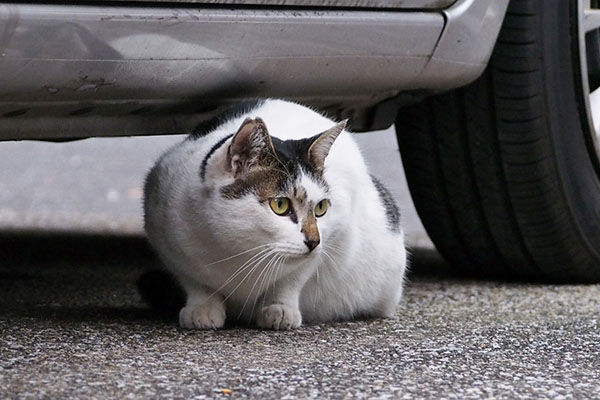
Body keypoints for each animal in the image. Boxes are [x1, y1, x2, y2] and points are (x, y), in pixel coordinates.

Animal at [142, 98, 406, 330]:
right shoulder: (165, 231)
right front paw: (202, 308)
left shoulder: (334, 233)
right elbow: (195, 282)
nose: (314, 240)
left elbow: (292, 279)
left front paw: (280, 309)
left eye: (321, 208)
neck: (238, 252)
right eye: (280, 205)